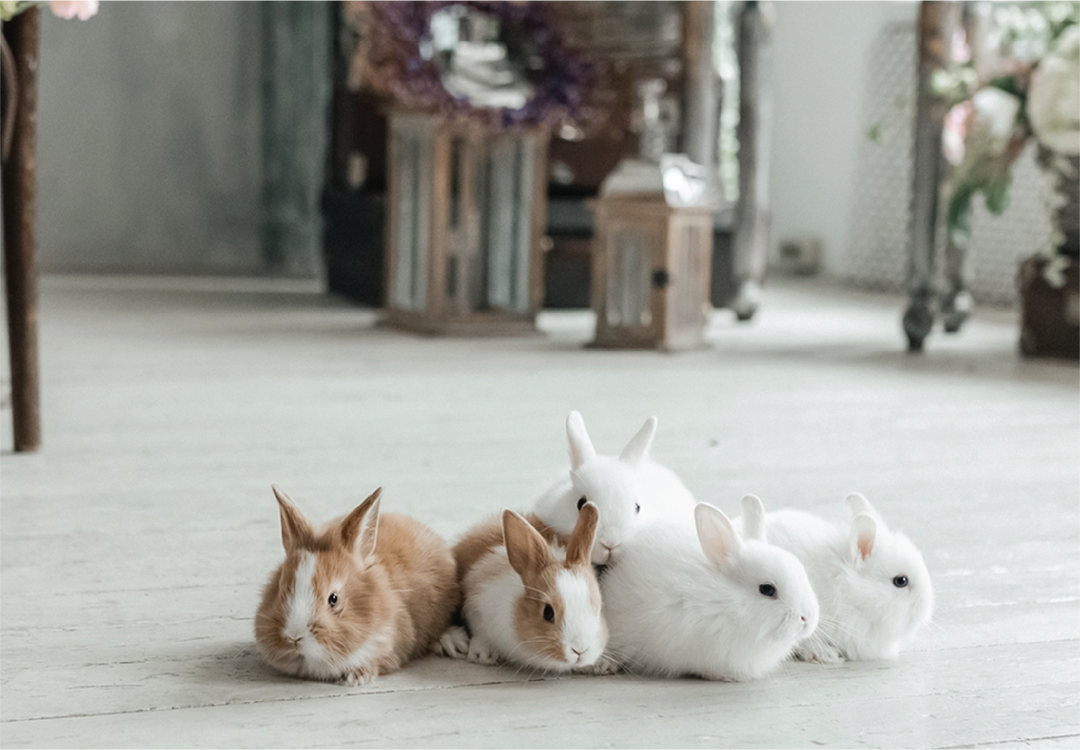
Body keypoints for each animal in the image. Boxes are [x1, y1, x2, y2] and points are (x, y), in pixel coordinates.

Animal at [441, 501, 610, 673]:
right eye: (547, 612)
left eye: (598, 608)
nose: (580, 650)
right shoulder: (478, 606)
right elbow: (479, 632)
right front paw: (484, 653)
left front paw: (601, 665)